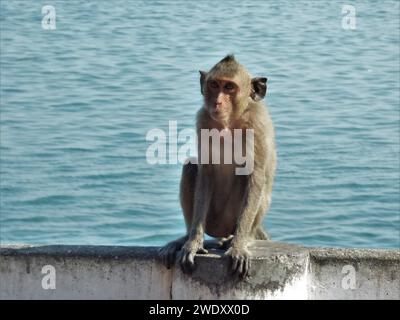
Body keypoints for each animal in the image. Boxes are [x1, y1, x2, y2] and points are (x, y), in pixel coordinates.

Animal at [158, 55, 276, 278]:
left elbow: (255, 176)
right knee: (191, 167)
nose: (218, 101)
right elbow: (205, 172)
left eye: (229, 87)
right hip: (213, 220)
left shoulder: (256, 123)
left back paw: (237, 239)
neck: (229, 122)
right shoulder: (203, 118)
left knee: (249, 178)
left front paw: (238, 247)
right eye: (214, 85)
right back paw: (186, 238)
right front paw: (193, 243)